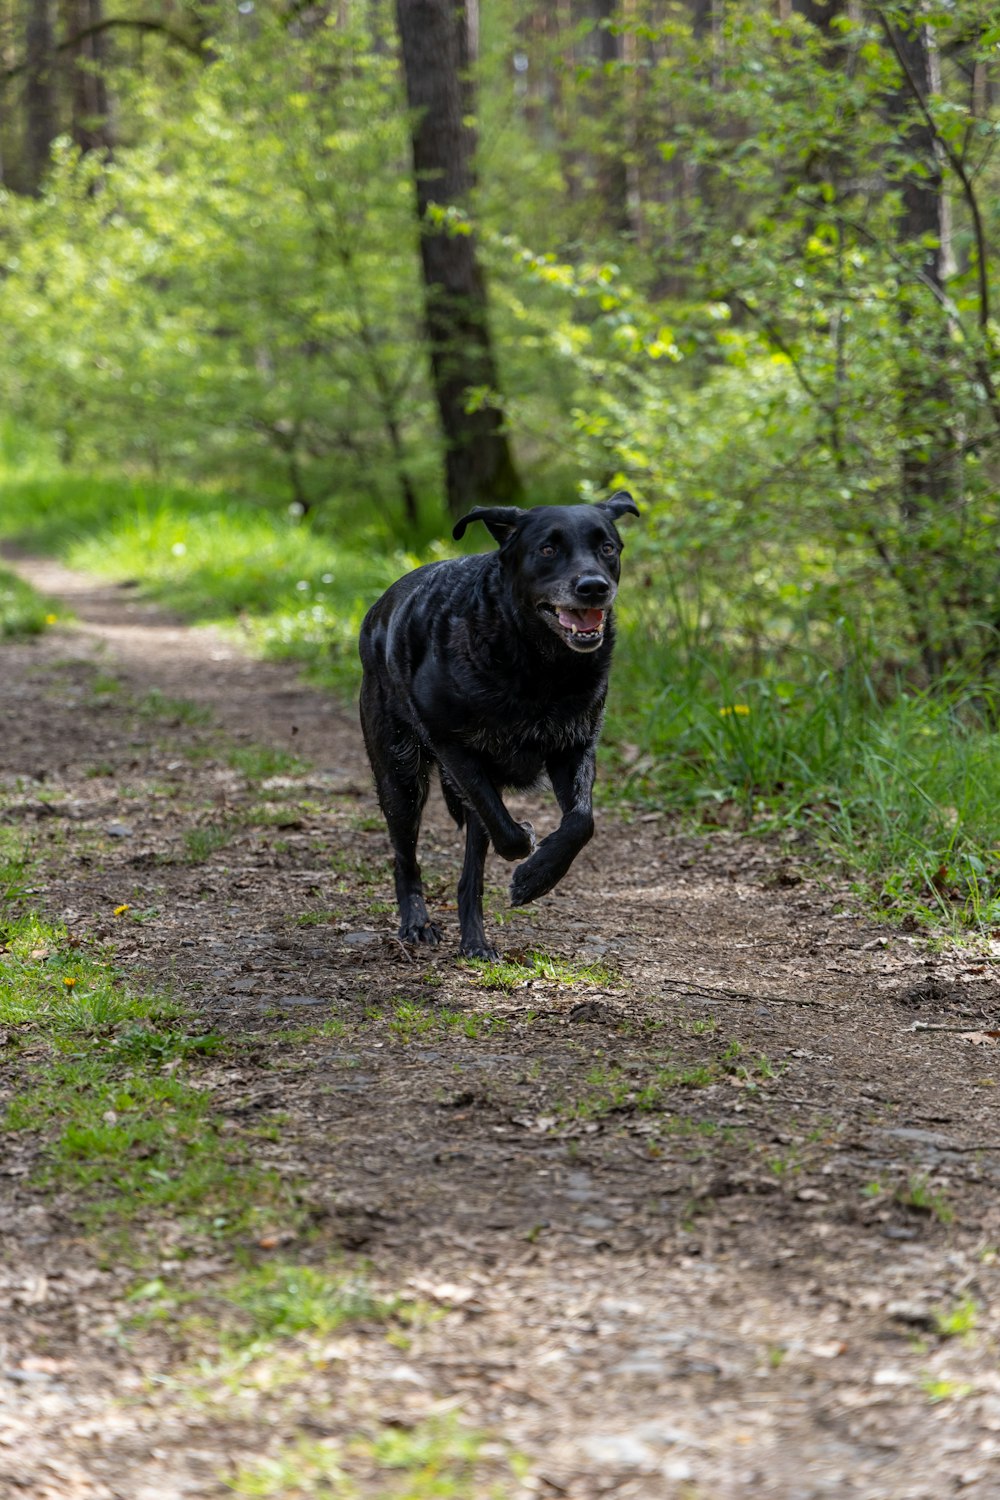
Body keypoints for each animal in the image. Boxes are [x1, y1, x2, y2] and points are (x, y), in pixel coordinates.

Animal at [359, 492, 641, 960]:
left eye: (607, 548)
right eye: (547, 549)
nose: (594, 587)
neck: (539, 665)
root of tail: (377, 609)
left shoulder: (574, 747)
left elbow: (581, 821)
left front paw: (537, 877)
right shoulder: (455, 747)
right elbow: (508, 832)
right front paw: (527, 849)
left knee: (470, 875)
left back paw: (475, 941)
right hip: (400, 776)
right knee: (406, 857)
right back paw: (416, 922)